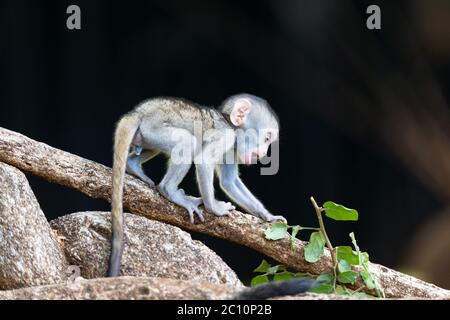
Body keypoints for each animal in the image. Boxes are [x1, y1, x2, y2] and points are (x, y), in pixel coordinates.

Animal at [107, 93, 286, 278]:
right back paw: (169, 190)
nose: (264, 153)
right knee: (186, 142)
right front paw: (214, 208)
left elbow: (229, 182)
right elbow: (204, 161)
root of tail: (138, 112)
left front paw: (267, 216)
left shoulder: (232, 147)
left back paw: (133, 165)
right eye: (266, 138)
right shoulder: (226, 136)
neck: (228, 122)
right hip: (153, 129)